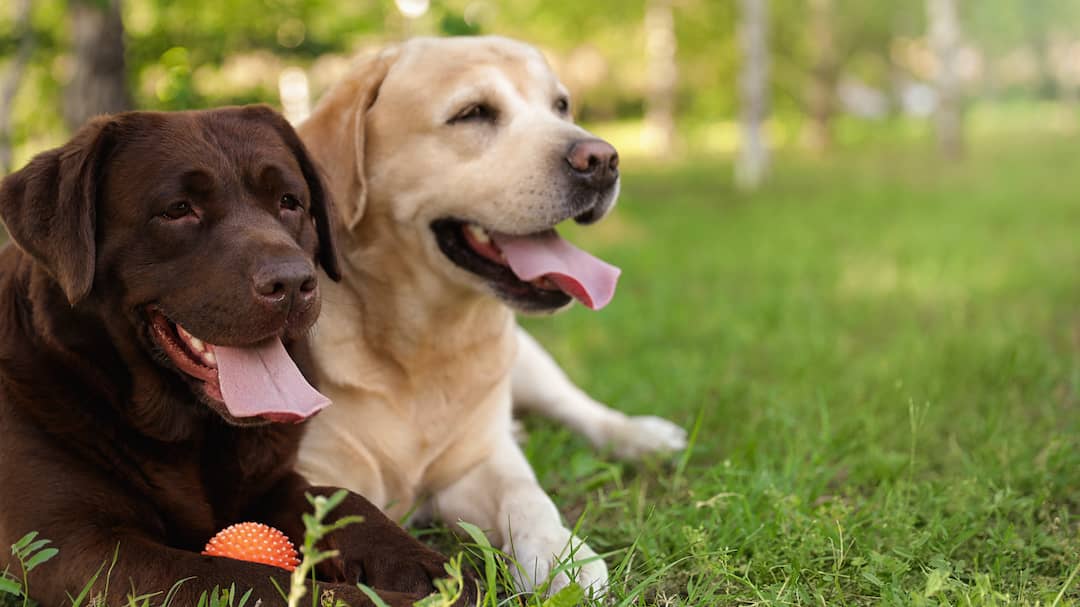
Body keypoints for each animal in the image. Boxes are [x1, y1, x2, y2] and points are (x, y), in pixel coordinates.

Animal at [0, 106, 477, 600]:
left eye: (289, 201)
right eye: (177, 210)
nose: (292, 282)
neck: (189, 433)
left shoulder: (273, 483)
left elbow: (343, 500)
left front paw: (429, 568)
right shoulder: (69, 544)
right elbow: (241, 577)